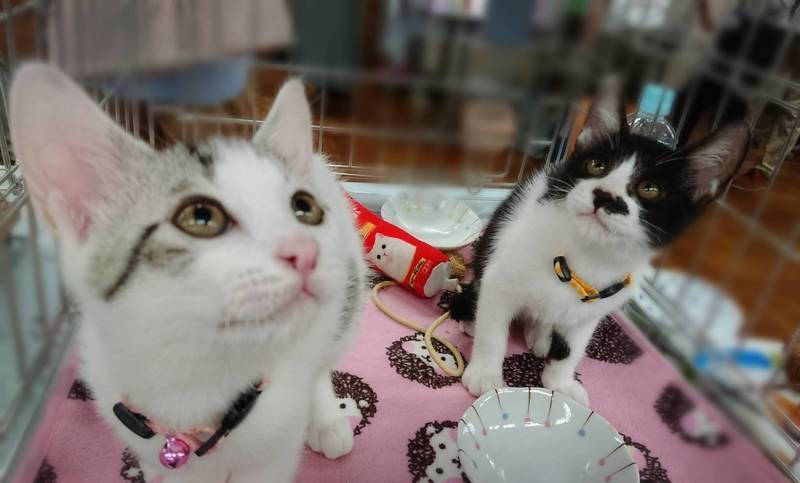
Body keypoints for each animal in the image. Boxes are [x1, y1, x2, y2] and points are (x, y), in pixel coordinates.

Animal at [10, 63, 366, 483]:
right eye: (201, 217)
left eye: (304, 207)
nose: (306, 251)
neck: (194, 379)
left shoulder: (273, 448)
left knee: (323, 358)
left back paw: (326, 420)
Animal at [448, 77, 749, 406]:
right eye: (596, 166)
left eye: (650, 189)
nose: (604, 195)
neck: (588, 255)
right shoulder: (502, 275)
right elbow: (494, 330)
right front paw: (485, 373)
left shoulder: (594, 309)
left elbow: (572, 349)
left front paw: (560, 382)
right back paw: (475, 320)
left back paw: (540, 335)